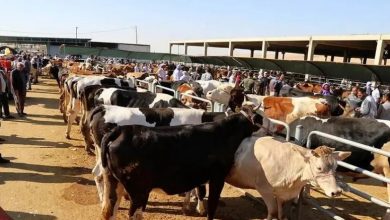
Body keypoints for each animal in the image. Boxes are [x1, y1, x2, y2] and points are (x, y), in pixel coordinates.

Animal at [100, 111, 258, 220]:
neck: (224, 134)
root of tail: (122, 130)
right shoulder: (218, 177)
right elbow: (212, 205)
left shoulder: (200, 175)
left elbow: (200, 192)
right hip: (139, 191)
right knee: (134, 214)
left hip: (113, 181)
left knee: (109, 211)